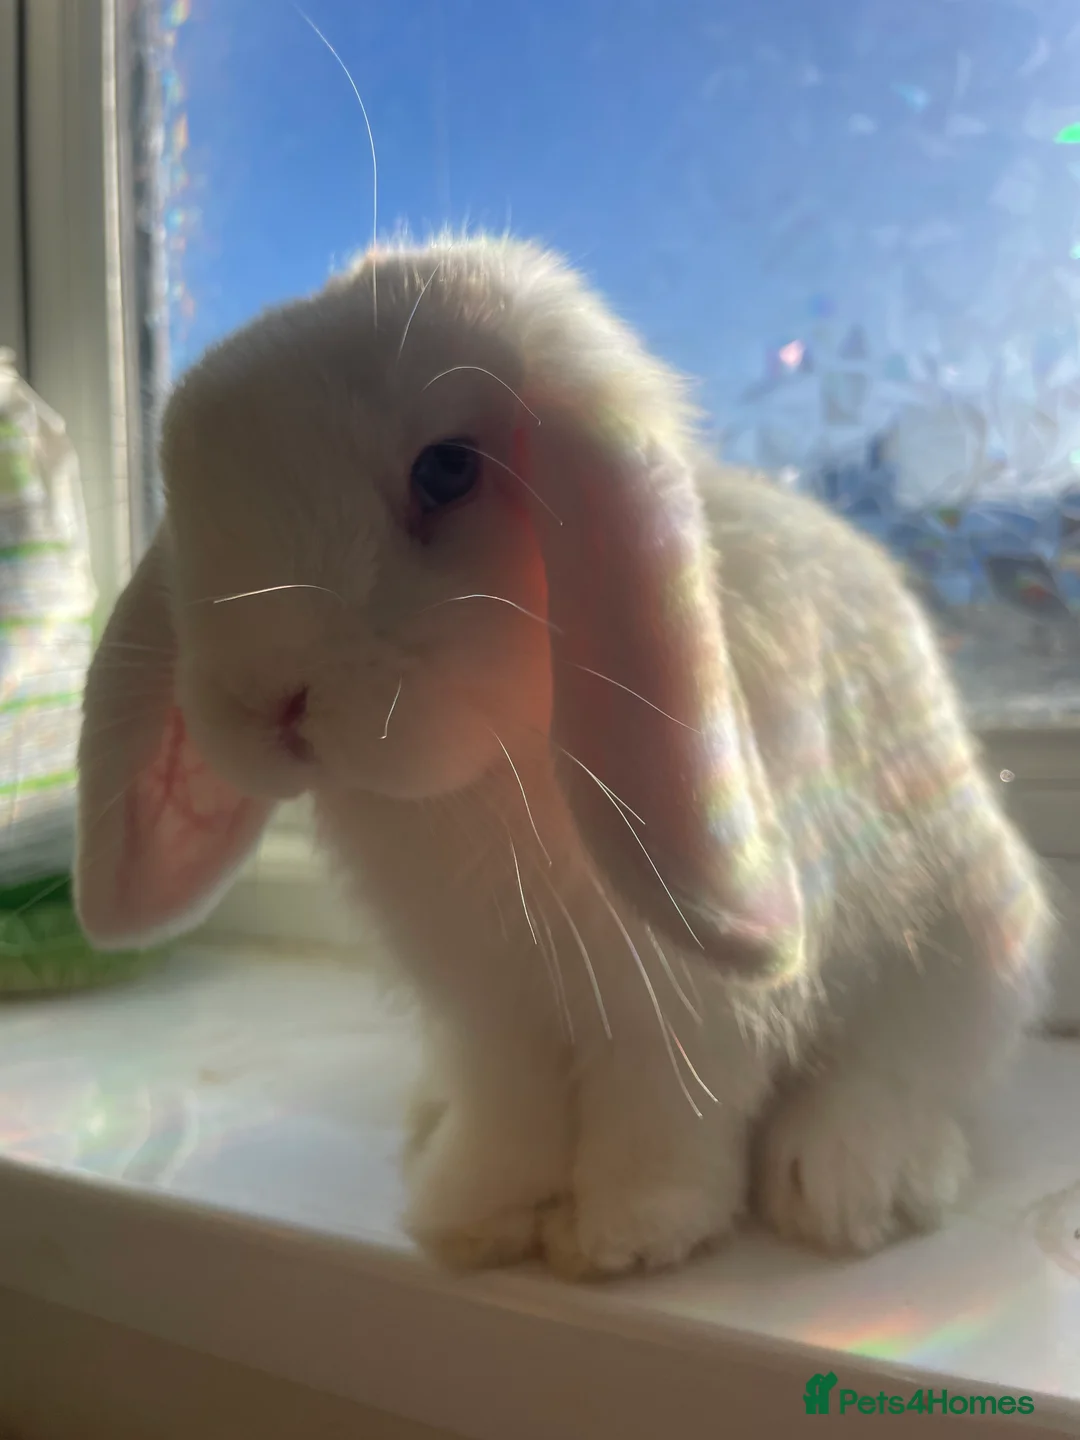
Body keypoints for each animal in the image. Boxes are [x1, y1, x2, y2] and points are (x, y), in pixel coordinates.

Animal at [75, 234, 1053, 1279]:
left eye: (448, 470)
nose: (268, 701)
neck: (495, 770)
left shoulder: (678, 1005)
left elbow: (663, 1108)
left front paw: (626, 1236)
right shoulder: (490, 1007)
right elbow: (513, 1113)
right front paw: (474, 1217)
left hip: (971, 951)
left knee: (912, 1073)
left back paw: (841, 1177)